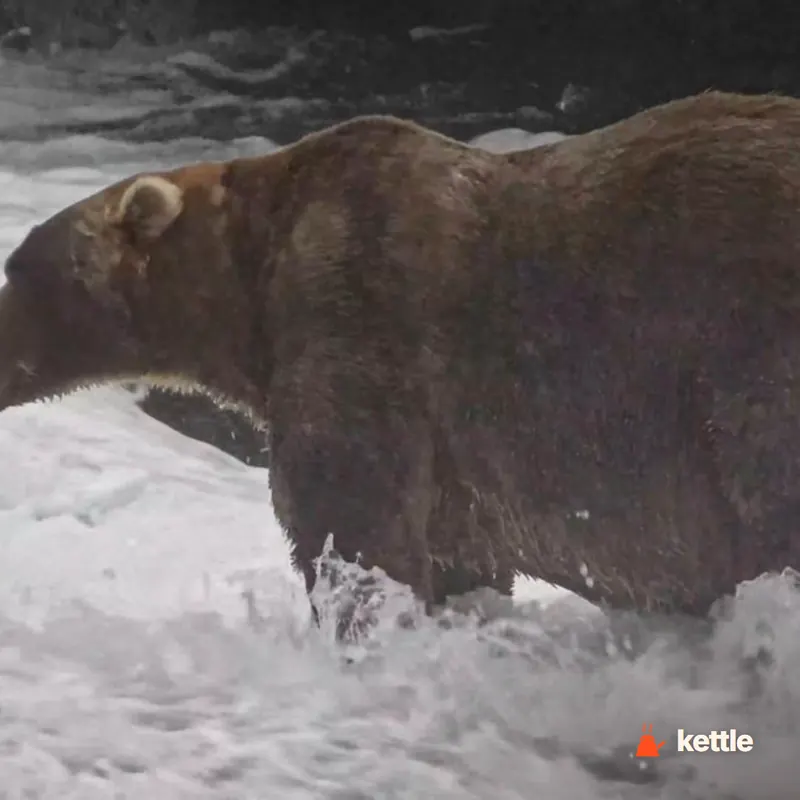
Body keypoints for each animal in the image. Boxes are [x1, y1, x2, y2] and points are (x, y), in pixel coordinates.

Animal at [1, 89, 800, 623]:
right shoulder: (459, 468)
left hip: (741, 352)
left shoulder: (357, 321)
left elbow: (350, 521)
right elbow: (457, 556)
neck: (248, 286)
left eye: (17, 268)